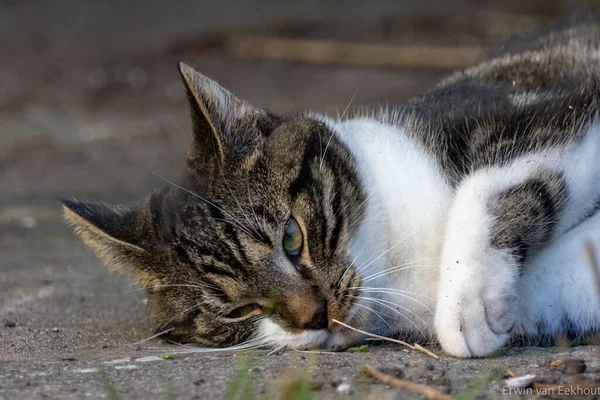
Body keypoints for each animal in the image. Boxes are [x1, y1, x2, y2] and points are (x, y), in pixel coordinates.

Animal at [62, 16, 600, 360]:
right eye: (238, 310)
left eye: (292, 236)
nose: (315, 316)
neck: (401, 268)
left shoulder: (547, 99)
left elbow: (492, 184)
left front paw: (465, 305)